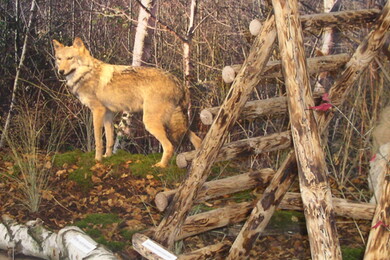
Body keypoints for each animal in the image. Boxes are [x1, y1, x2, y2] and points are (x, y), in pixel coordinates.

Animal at [51, 37, 201, 168]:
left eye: (70, 58)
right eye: (59, 59)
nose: (61, 71)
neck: (87, 74)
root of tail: (179, 82)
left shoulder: (98, 111)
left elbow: (98, 140)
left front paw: (97, 160)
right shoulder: (108, 114)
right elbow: (110, 139)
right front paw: (107, 157)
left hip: (151, 123)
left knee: (169, 146)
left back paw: (161, 166)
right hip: (175, 123)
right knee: (195, 138)